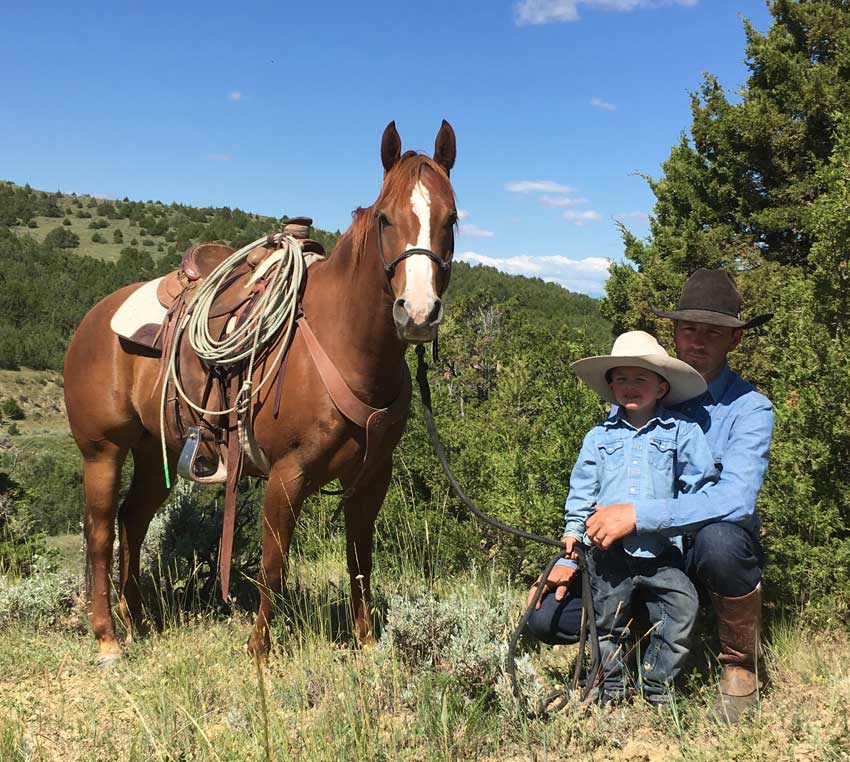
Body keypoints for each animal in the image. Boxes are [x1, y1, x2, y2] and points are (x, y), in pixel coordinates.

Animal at [63, 119, 458, 660]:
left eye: (451, 220)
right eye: (385, 219)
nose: (417, 313)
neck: (343, 344)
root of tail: (92, 319)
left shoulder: (372, 477)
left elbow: (360, 560)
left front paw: (367, 643)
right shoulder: (286, 475)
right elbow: (274, 563)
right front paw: (258, 649)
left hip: (154, 450)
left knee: (132, 519)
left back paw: (139, 620)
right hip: (102, 450)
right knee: (101, 529)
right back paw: (108, 638)